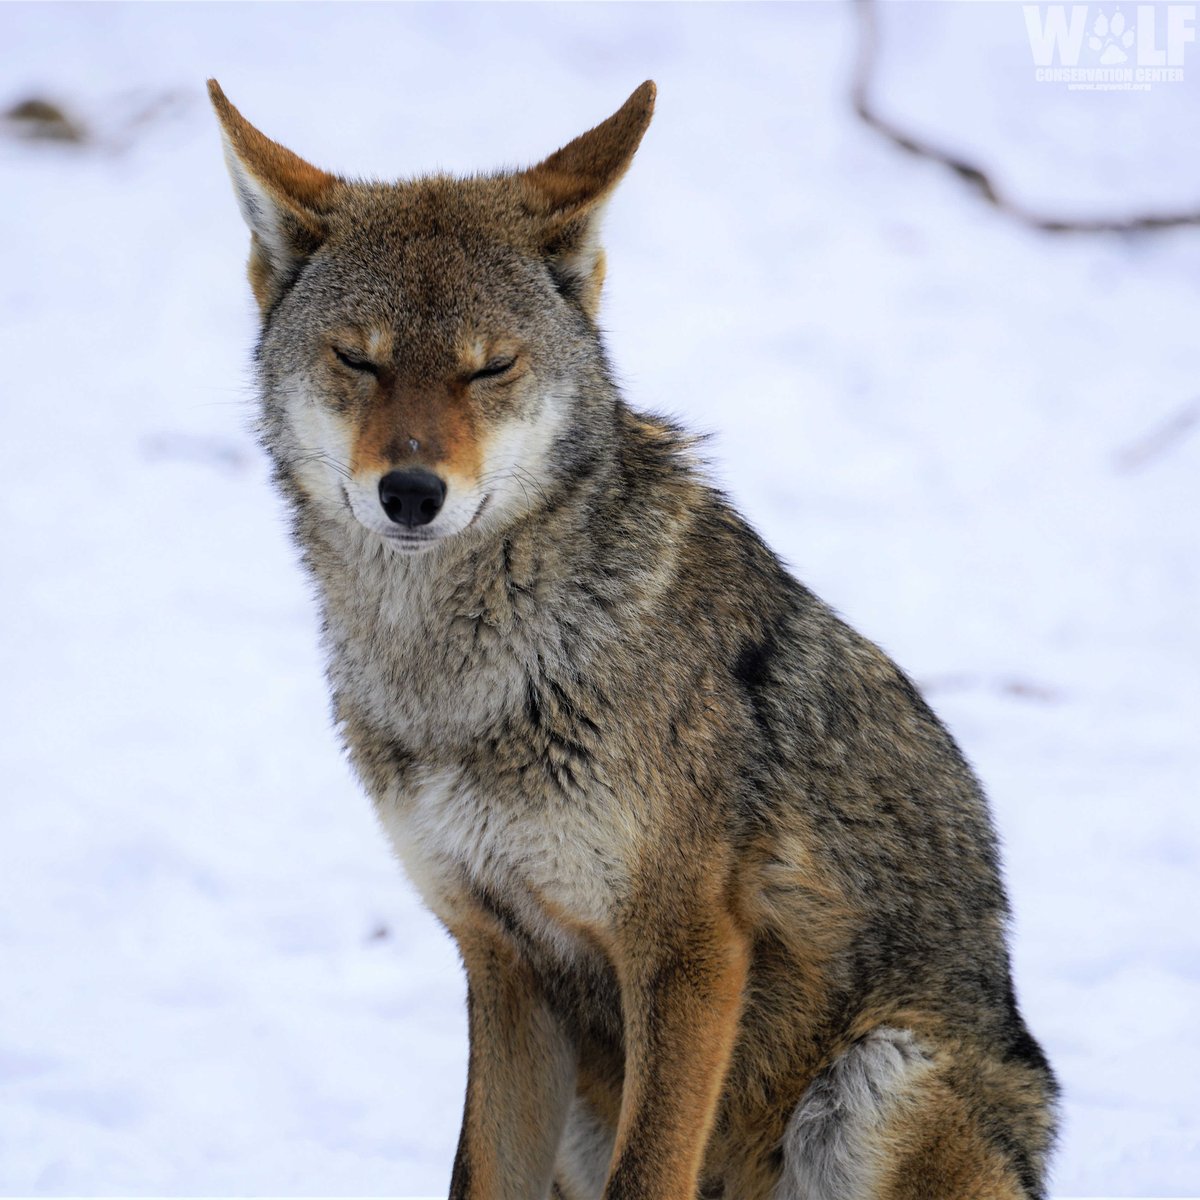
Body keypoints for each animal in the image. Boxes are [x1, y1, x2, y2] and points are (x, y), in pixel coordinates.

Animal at [209, 79, 1058, 1200]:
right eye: (359, 358)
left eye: (490, 369)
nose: (412, 491)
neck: (465, 683)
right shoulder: (502, 964)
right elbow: (479, 1175)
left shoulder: (690, 948)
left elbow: (648, 1172)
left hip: (876, 1083)